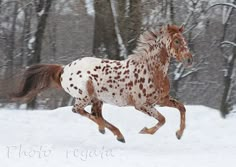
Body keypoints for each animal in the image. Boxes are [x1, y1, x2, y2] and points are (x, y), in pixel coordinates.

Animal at [11, 24, 192, 144]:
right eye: (176, 41)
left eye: (183, 39)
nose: (189, 59)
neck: (151, 70)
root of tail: (63, 69)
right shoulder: (142, 105)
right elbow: (162, 119)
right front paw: (145, 131)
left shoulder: (161, 100)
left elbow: (182, 108)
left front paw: (179, 134)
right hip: (84, 96)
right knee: (80, 111)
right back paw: (109, 131)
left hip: (97, 99)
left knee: (96, 114)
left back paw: (114, 133)